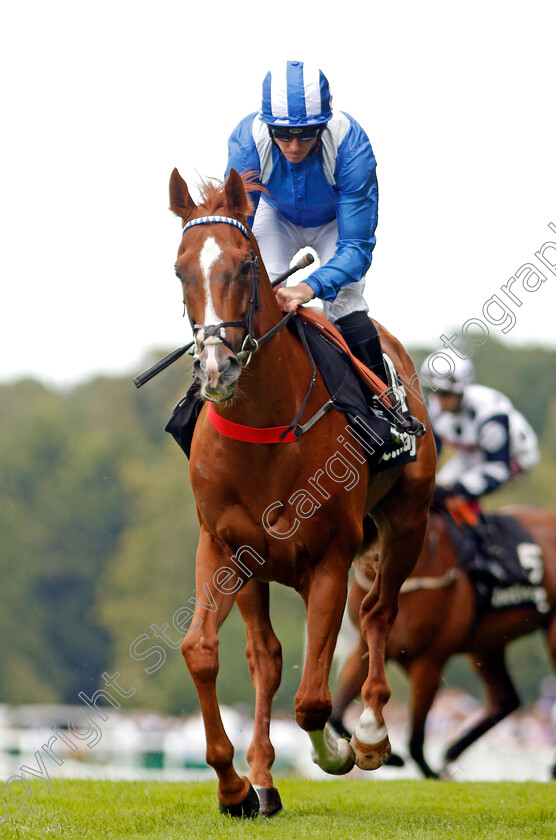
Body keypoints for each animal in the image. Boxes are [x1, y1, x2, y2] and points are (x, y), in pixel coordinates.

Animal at [167, 164, 436, 812]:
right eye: (180, 269)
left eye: (245, 265)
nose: (217, 369)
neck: (265, 426)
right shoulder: (222, 548)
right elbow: (203, 652)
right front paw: (235, 785)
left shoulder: (330, 560)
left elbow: (314, 698)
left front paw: (339, 751)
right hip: (256, 569)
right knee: (266, 657)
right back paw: (263, 779)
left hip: (409, 522)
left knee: (379, 612)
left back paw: (370, 733)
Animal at [330, 502, 556, 776]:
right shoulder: (366, 648)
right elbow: (337, 713)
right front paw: (383, 754)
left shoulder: (429, 660)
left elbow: (415, 740)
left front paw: (428, 773)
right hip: (487, 646)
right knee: (506, 699)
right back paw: (452, 752)